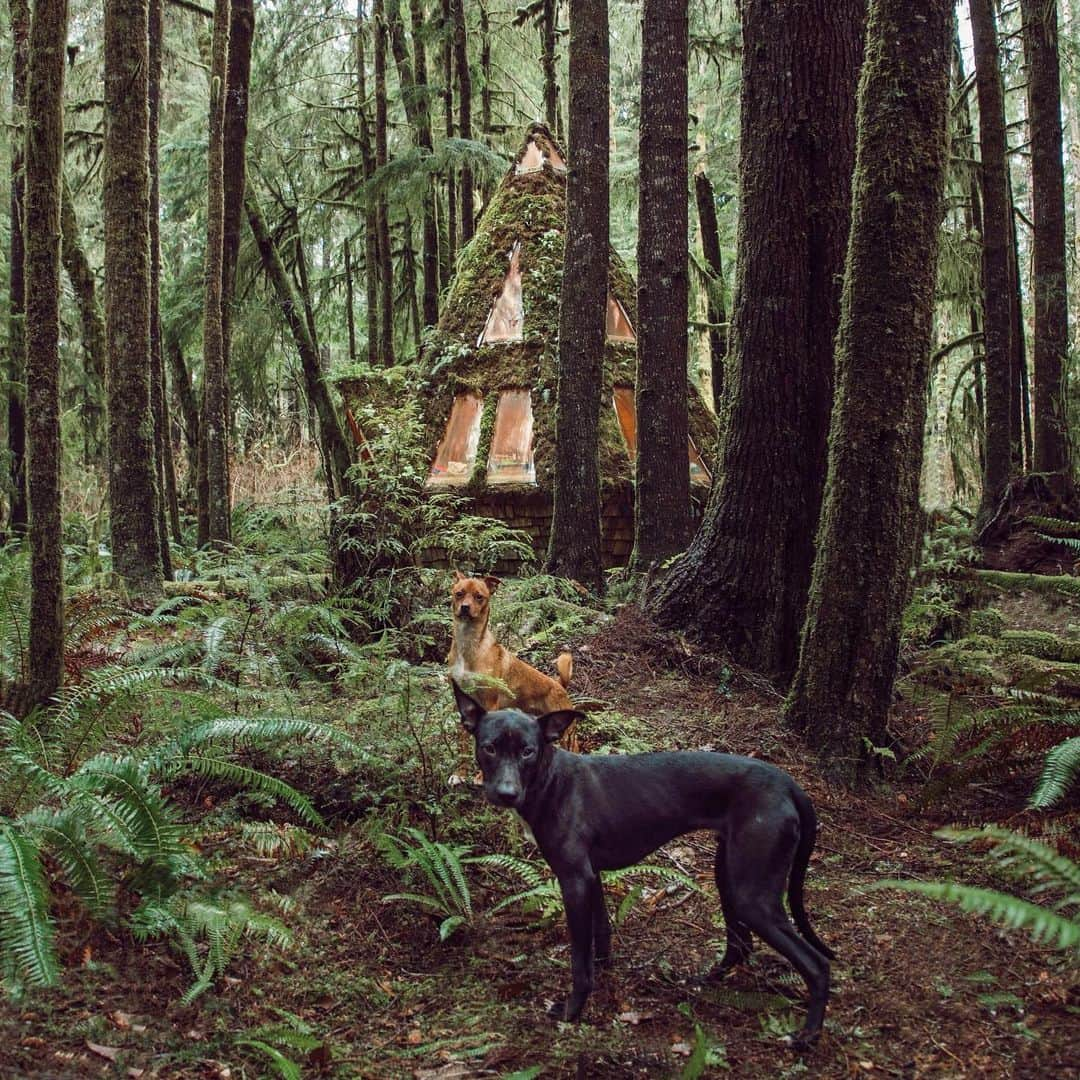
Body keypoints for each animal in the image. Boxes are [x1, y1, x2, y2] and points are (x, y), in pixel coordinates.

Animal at [447, 570, 578, 747]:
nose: (465, 607)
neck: (468, 644)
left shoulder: (489, 702)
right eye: (459, 593)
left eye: (479, 597)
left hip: (568, 736)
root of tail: (560, 685)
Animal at [449, 682, 833, 1045]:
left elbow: (578, 958)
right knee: (741, 944)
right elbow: (601, 935)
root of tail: (787, 783)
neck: (550, 781)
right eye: (489, 748)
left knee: (817, 965)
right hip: (729, 877)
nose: (506, 794)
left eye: (527, 751)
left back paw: (808, 1036)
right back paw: (708, 980)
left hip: (753, 896)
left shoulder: (574, 880)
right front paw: (604, 976)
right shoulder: (591, 877)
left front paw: (573, 1010)